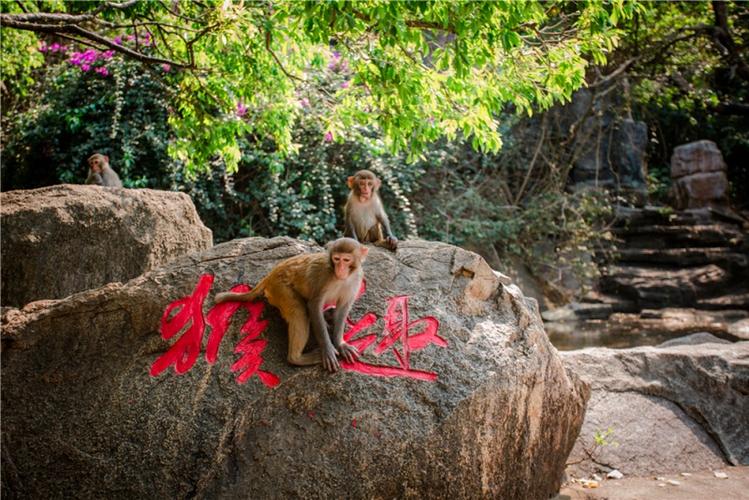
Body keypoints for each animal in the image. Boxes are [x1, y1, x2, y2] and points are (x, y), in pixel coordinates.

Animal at [213, 237, 368, 372]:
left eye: (346, 260)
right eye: (336, 259)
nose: (340, 269)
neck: (343, 278)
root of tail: (271, 274)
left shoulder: (356, 279)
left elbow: (343, 309)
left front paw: (341, 344)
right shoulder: (324, 278)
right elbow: (314, 306)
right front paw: (327, 349)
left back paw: (328, 316)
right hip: (280, 289)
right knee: (299, 311)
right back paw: (297, 358)